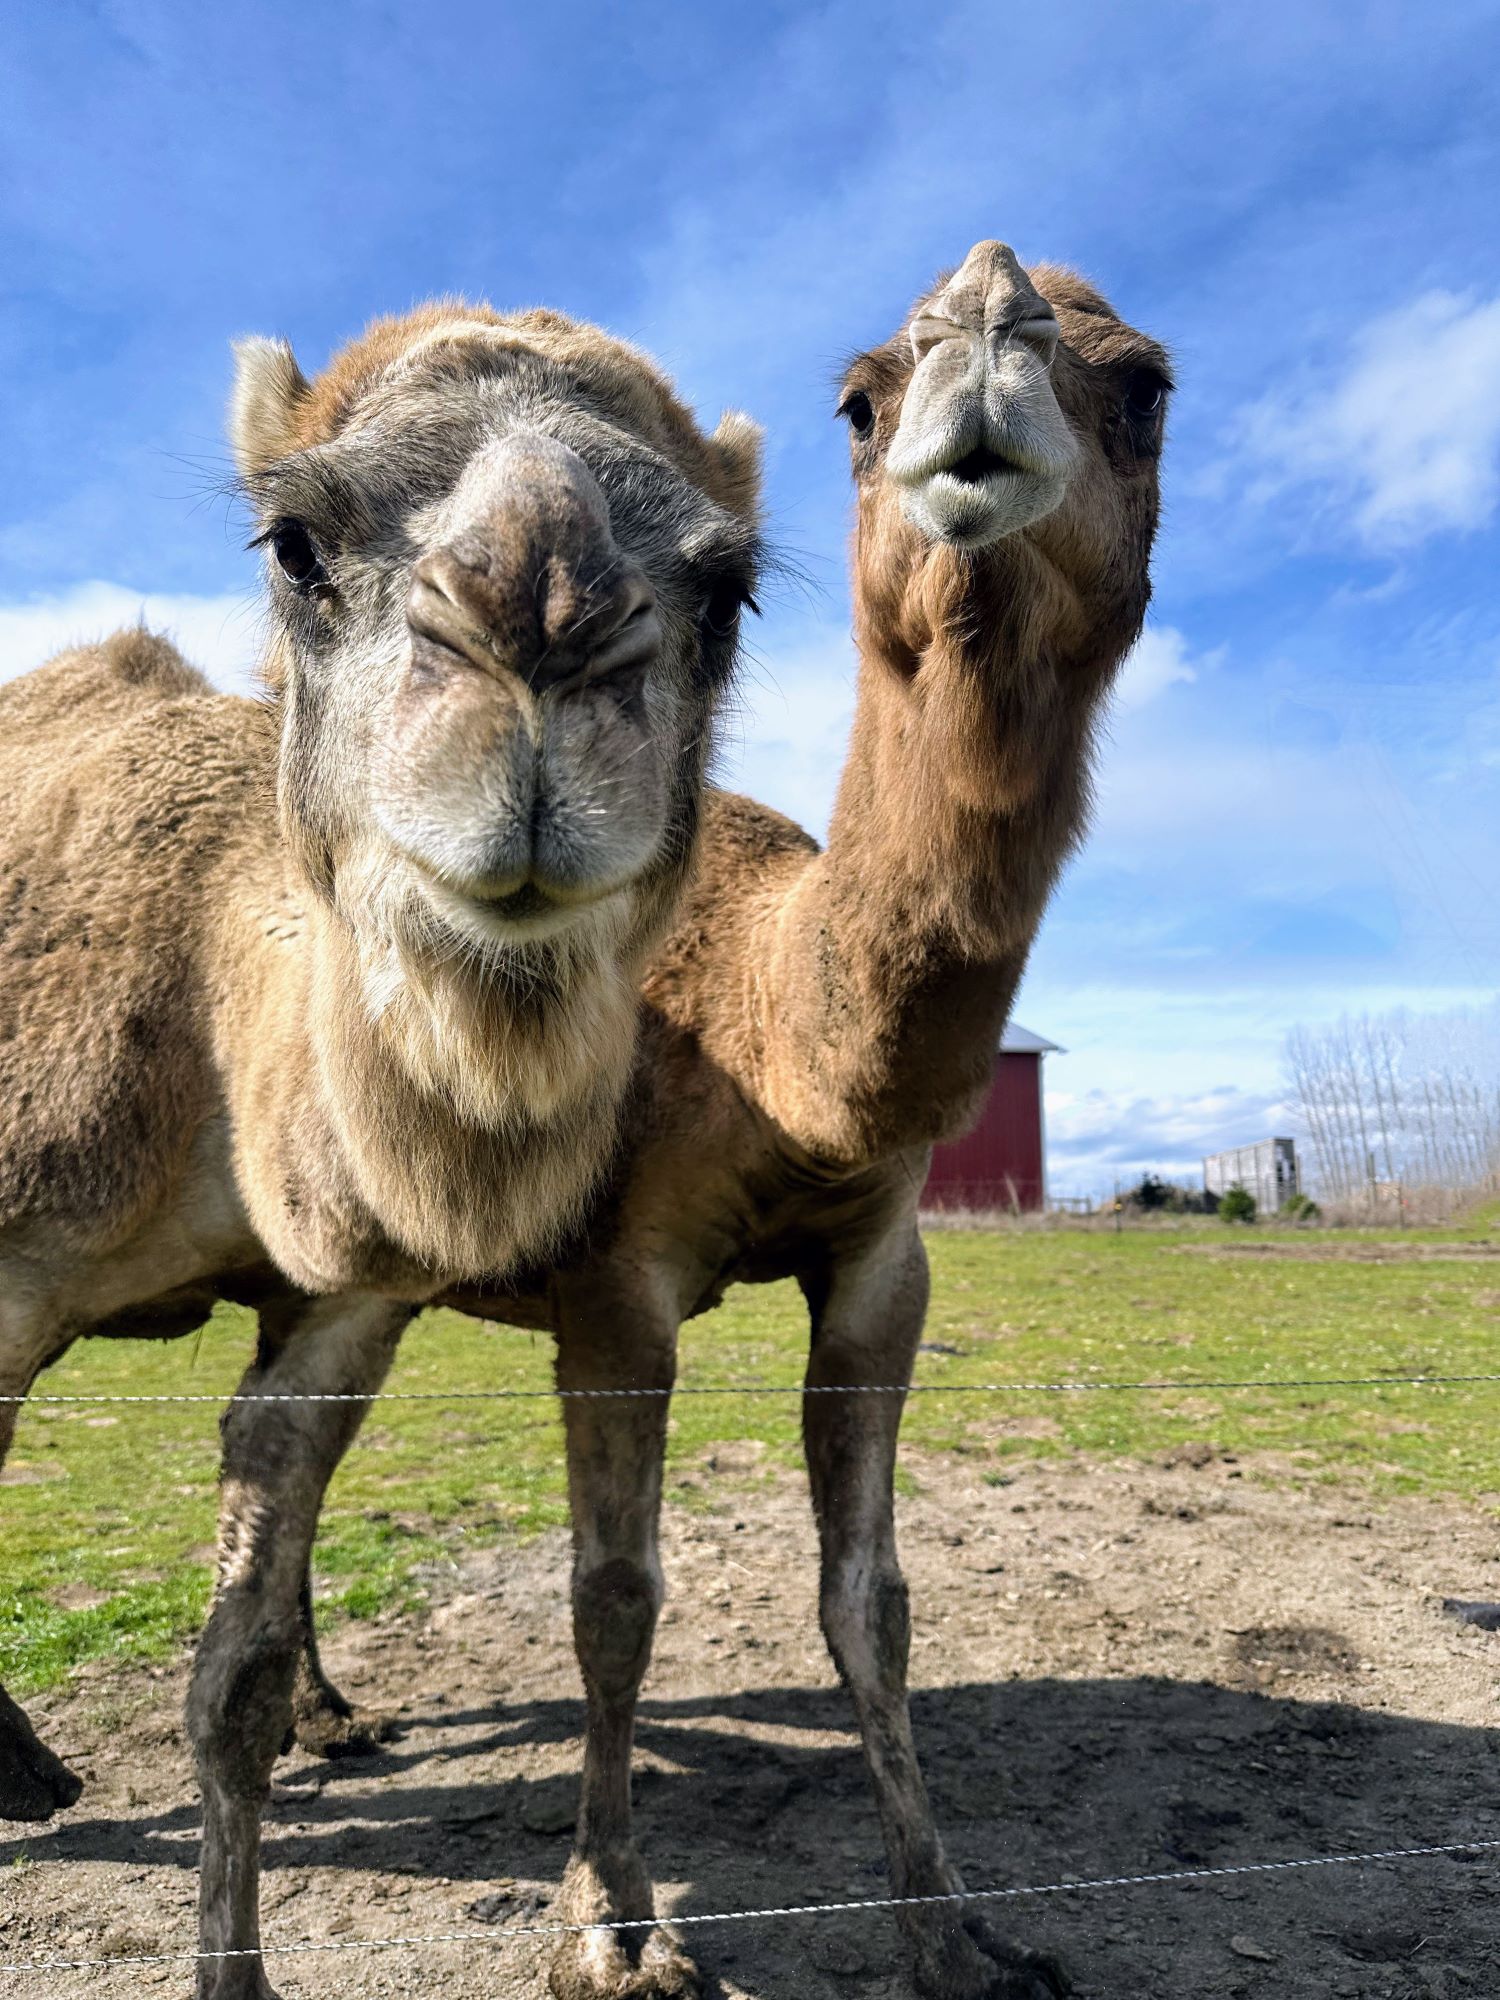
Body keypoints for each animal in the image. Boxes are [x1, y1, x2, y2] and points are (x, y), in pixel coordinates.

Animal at [0, 303, 764, 1993]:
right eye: (295, 543)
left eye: (726, 587)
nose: (539, 623)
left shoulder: (344, 1299)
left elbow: (232, 1674)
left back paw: (330, 1713)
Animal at [293, 241, 1171, 2000]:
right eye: (860, 397)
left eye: (1151, 388)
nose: (988, 313)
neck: (775, 1035)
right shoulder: (615, 1278)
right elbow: (614, 1598)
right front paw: (614, 1926)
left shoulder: (885, 1259)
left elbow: (873, 1598)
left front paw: (952, 1927)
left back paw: (323, 1715)